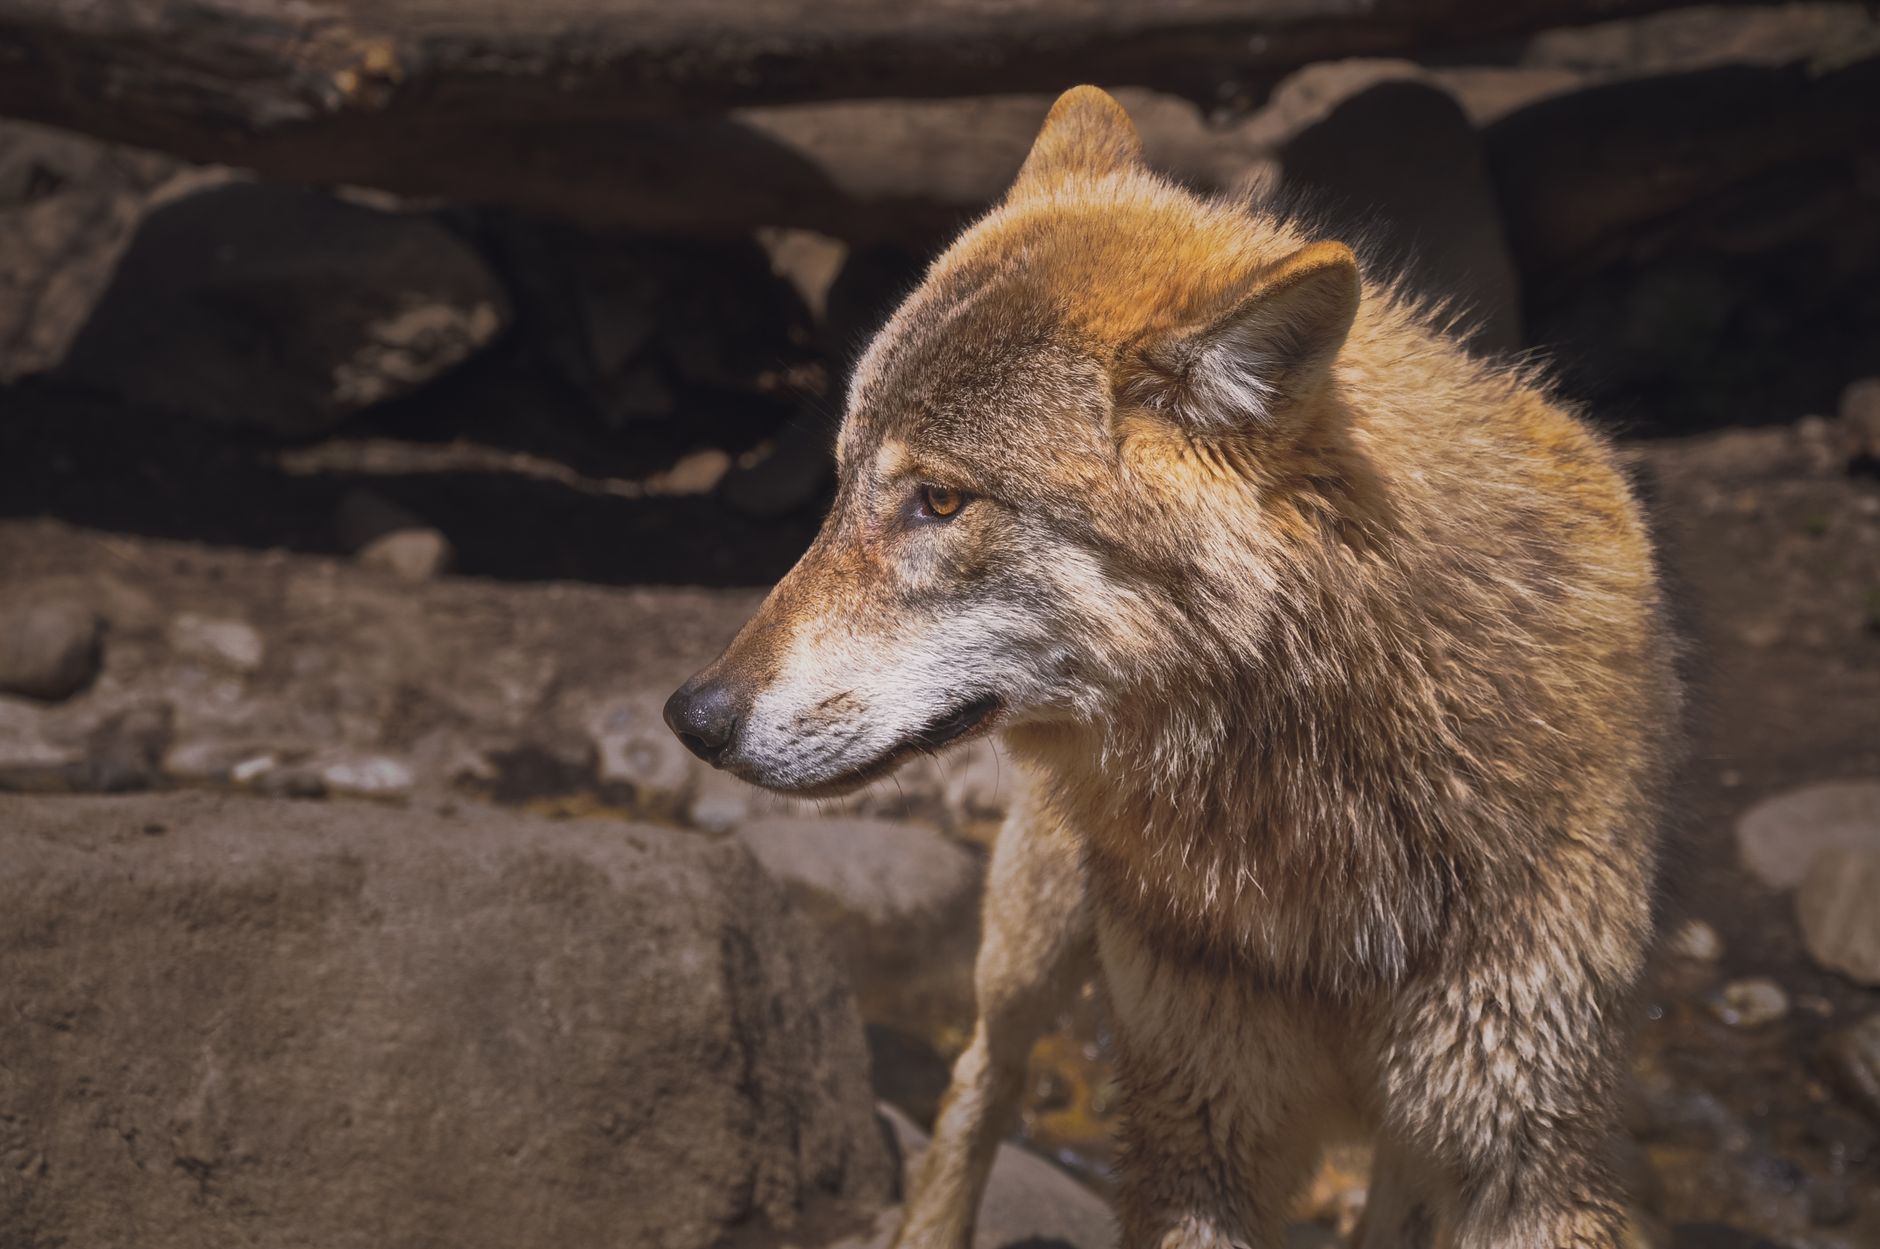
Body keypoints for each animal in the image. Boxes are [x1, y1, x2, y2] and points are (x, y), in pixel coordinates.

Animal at [666, 86, 1679, 1249]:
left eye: (940, 500)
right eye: (838, 486)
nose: (693, 715)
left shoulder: (1523, 1155)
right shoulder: (1197, 1126)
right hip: (1034, 940)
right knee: (980, 1082)